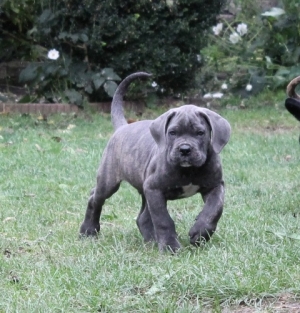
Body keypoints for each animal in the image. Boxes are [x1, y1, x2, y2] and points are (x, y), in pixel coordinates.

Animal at [79, 71, 230, 251]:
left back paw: (151, 240)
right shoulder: (155, 189)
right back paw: (88, 230)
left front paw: (200, 233)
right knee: (94, 198)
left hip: (143, 188)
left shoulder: (215, 186)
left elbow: (214, 210)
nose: (185, 149)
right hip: (108, 182)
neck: (189, 170)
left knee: (142, 218)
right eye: (172, 132)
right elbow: (163, 220)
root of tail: (123, 127)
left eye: (200, 133)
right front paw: (170, 246)